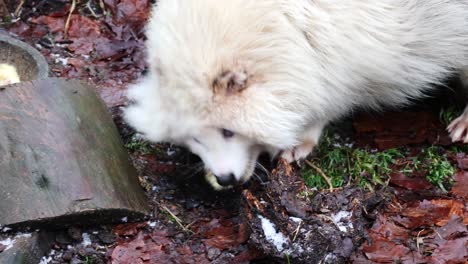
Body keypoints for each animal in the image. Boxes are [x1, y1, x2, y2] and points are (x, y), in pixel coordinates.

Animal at [123, 0, 468, 190]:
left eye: (228, 131)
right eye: (193, 139)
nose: (225, 179)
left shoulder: (341, 65)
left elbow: (326, 104)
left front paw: (299, 141)